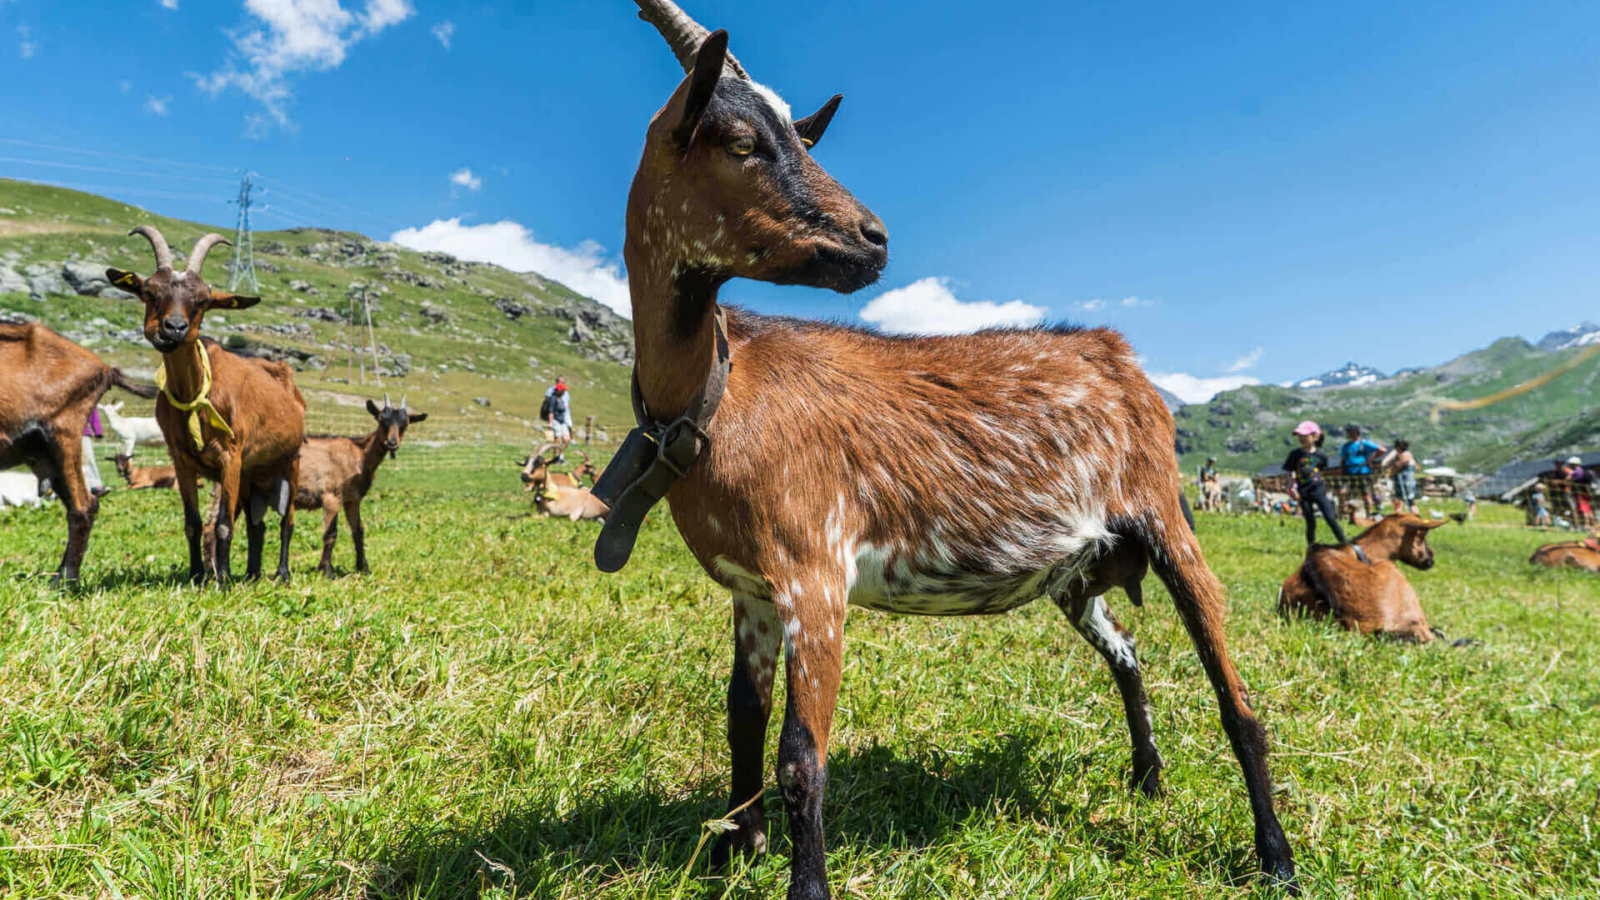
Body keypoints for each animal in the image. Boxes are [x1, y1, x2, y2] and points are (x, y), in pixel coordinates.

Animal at [108, 225, 305, 582]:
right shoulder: (182, 461)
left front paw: (222, 580)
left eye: (202, 300)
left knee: (287, 520)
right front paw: (198, 575)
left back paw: (281, 573)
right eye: (150, 292)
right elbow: (194, 523)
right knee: (257, 525)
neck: (195, 395)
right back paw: (252, 573)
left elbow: (224, 524)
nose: (173, 328)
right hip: (253, 475)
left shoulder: (231, 457)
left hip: (291, 462)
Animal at [291, 393, 422, 573]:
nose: (392, 442)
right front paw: (327, 571)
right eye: (381, 419)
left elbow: (358, 531)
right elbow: (330, 533)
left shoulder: (352, 499)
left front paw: (364, 568)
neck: (359, 455)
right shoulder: (331, 496)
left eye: (405, 423)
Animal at [601, 5, 1299, 890]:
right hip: (1078, 570)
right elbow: (741, 717)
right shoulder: (751, 587)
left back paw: (1276, 856)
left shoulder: (814, 573)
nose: (872, 238)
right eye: (741, 139)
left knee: (1235, 699)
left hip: (1166, 517)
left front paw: (803, 880)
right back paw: (1147, 776)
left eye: (801, 133)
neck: (718, 392)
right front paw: (735, 847)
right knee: (1128, 650)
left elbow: (802, 756)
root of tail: (1116, 351)